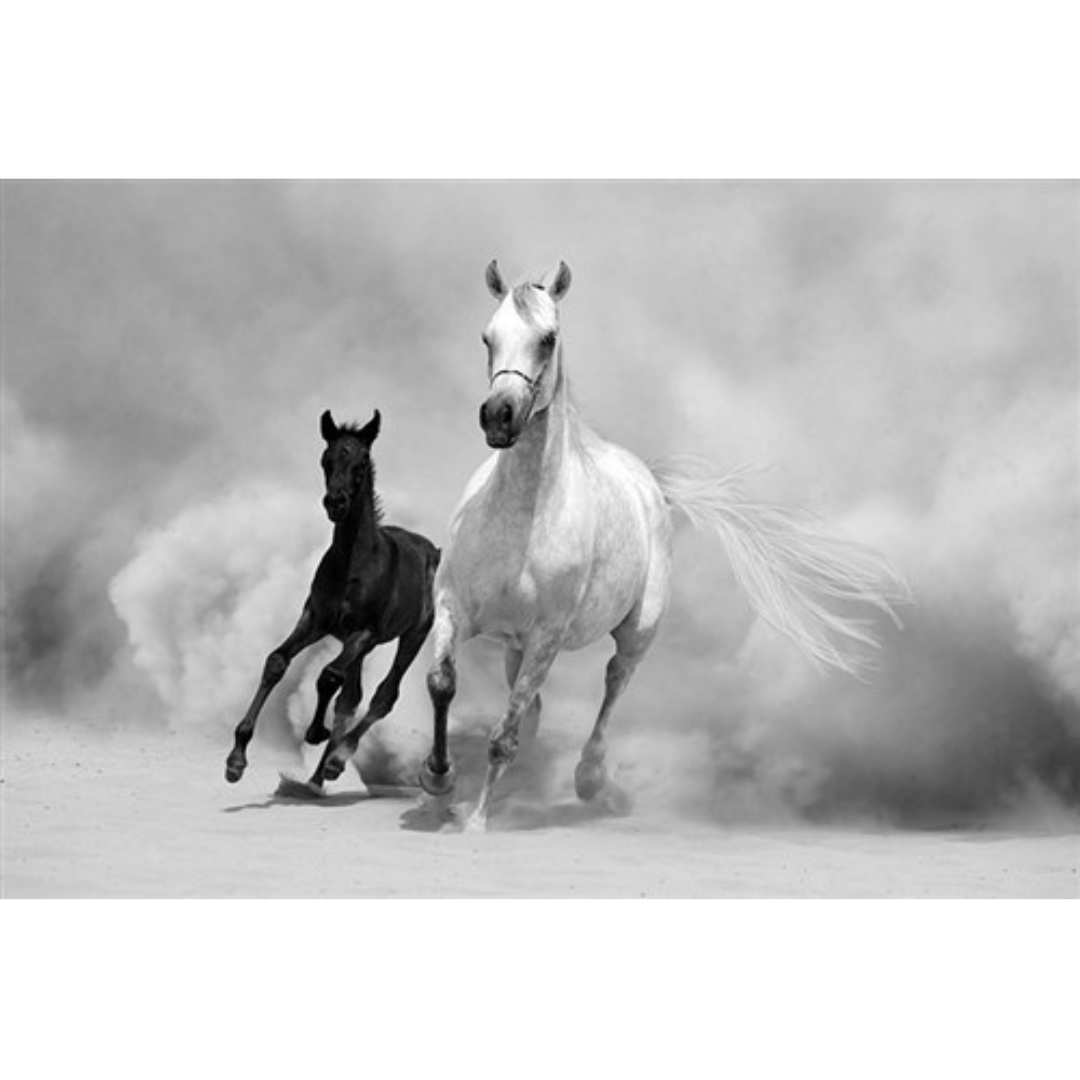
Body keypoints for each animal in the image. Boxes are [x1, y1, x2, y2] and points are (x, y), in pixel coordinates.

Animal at [225, 408, 440, 792]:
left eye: (361, 461)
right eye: (326, 459)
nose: (335, 503)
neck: (353, 562)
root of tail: (432, 549)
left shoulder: (365, 632)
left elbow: (327, 676)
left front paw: (315, 732)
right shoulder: (316, 619)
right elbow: (277, 662)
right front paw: (236, 760)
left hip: (412, 636)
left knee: (383, 695)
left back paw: (336, 760)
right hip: (357, 645)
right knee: (350, 697)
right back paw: (316, 777)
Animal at [417, 259, 911, 832]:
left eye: (548, 338)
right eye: (487, 336)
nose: (499, 415)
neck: (519, 524)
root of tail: (651, 484)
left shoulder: (546, 638)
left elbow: (504, 735)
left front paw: (476, 820)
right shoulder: (454, 608)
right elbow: (442, 683)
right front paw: (437, 780)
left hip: (634, 634)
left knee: (612, 685)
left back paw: (591, 781)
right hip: (515, 646)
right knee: (534, 708)